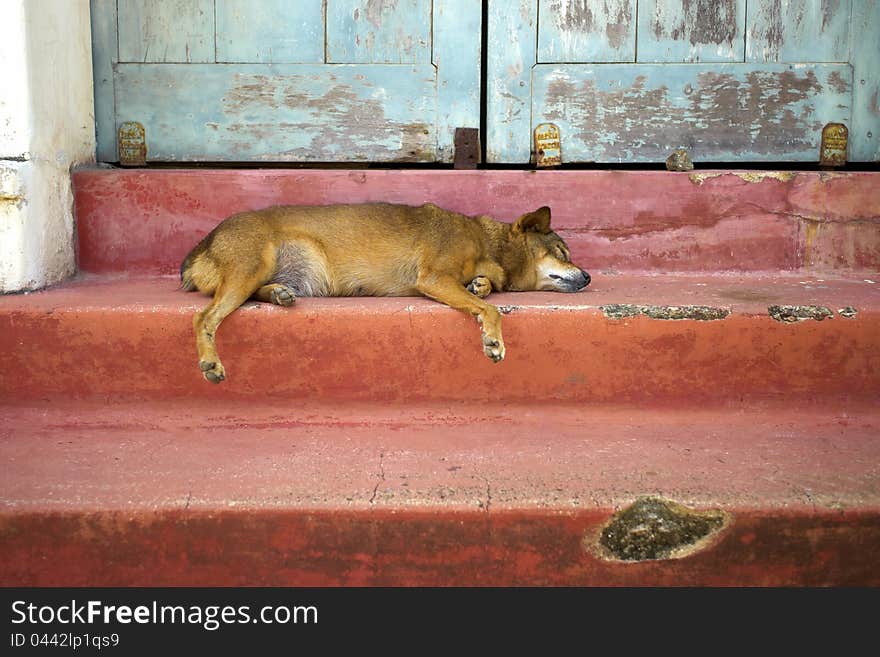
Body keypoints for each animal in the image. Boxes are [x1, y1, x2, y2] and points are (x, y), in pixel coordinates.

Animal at [180, 202, 592, 382]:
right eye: (562, 252)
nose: (587, 277)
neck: (487, 242)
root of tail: (203, 246)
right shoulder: (433, 278)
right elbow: (488, 310)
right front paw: (492, 340)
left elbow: (482, 292)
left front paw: (482, 284)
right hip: (250, 266)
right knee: (205, 317)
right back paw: (210, 363)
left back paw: (280, 293)